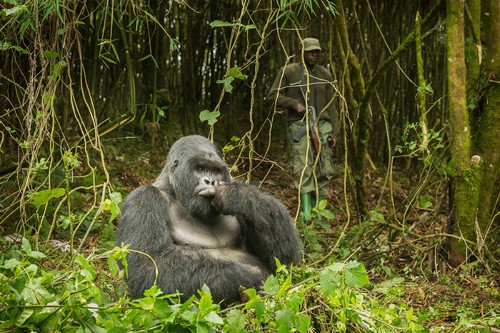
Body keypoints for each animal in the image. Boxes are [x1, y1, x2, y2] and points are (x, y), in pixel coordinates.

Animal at [116, 134, 300, 304]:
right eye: (200, 168)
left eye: (216, 171)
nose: (210, 181)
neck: (173, 191)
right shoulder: (143, 199)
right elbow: (150, 266)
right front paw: (248, 277)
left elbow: (283, 260)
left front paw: (239, 196)